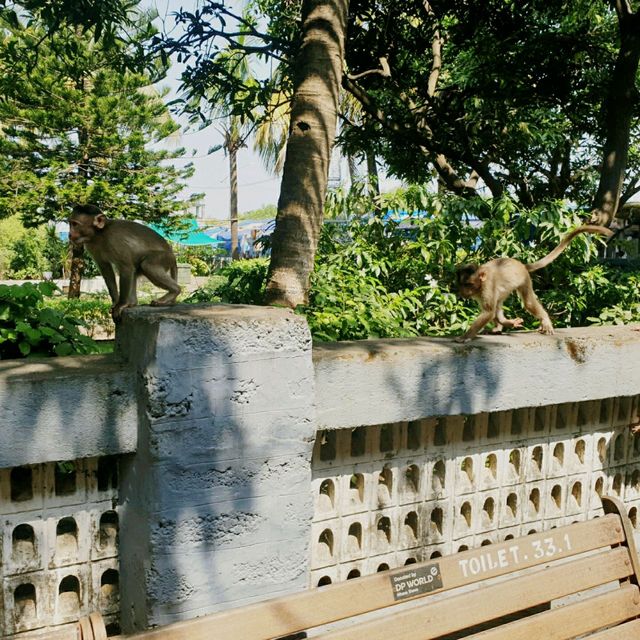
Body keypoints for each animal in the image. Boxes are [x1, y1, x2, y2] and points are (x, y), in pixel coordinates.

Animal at [456, 226, 608, 344]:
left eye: (468, 284)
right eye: (461, 284)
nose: (462, 293)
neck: (480, 285)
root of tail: (522, 265)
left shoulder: (488, 287)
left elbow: (488, 312)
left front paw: (466, 336)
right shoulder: (479, 293)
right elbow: (490, 311)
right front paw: (505, 323)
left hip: (524, 279)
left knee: (528, 302)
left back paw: (543, 320)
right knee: (498, 303)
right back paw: (503, 325)